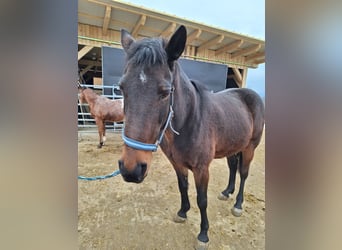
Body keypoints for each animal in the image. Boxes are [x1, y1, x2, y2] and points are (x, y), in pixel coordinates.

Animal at [117, 25, 264, 250]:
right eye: (122, 88)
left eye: (165, 92)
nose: (131, 169)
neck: (190, 120)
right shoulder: (177, 163)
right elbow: (182, 187)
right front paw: (182, 212)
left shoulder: (202, 169)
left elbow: (202, 200)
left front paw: (203, 234)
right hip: (233, 146)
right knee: (233, 167)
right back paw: (226, 192)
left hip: (250, 148)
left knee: (244, 174)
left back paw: (238, 204)